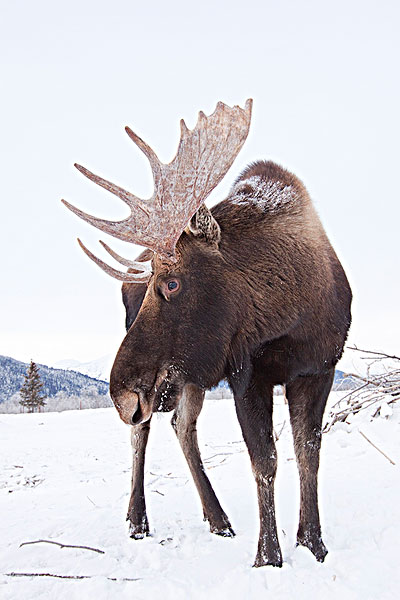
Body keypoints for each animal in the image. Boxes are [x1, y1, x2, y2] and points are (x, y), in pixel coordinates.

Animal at [61, 99, 350, 568]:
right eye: (152, 285)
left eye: (172, 283)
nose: (121, 395)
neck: (291, 318)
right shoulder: (246, 375)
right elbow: (265, 460)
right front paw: (269, 556)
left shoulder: (318, 369)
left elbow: (309, 454)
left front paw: (313, 543)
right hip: (170, 381)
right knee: (143, 430)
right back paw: (138, 519)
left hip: (185, 376)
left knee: (181, 424)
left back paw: (218, 518)